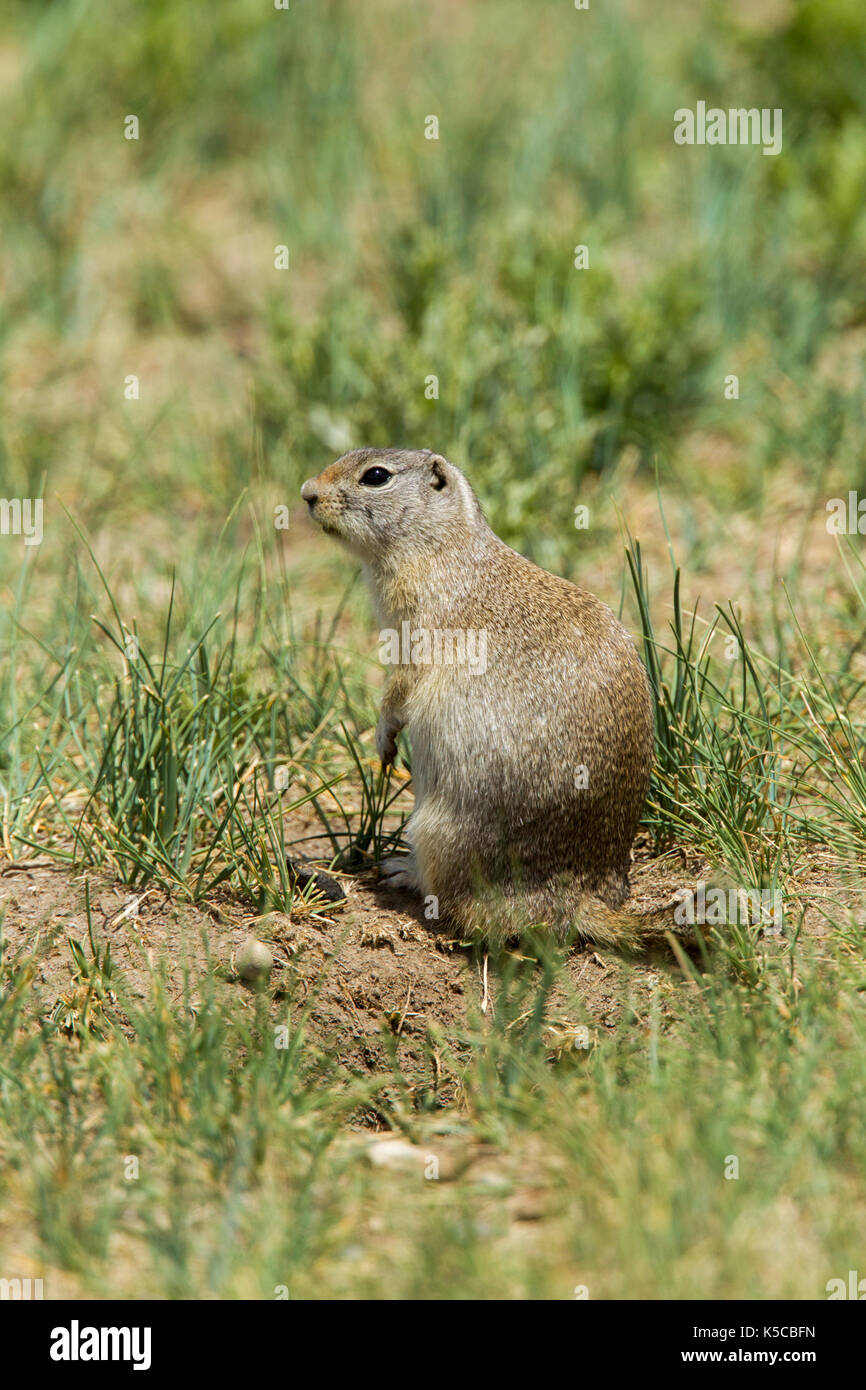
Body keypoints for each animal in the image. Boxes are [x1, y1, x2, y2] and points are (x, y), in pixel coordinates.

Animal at [300, 447, 656, 952]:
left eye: (376, 476)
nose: (307, 493)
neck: (443, 545)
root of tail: (578, 900)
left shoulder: (417, 628)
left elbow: (401, 687)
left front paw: (383, 739)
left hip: (438, 831)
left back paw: (403, 870)